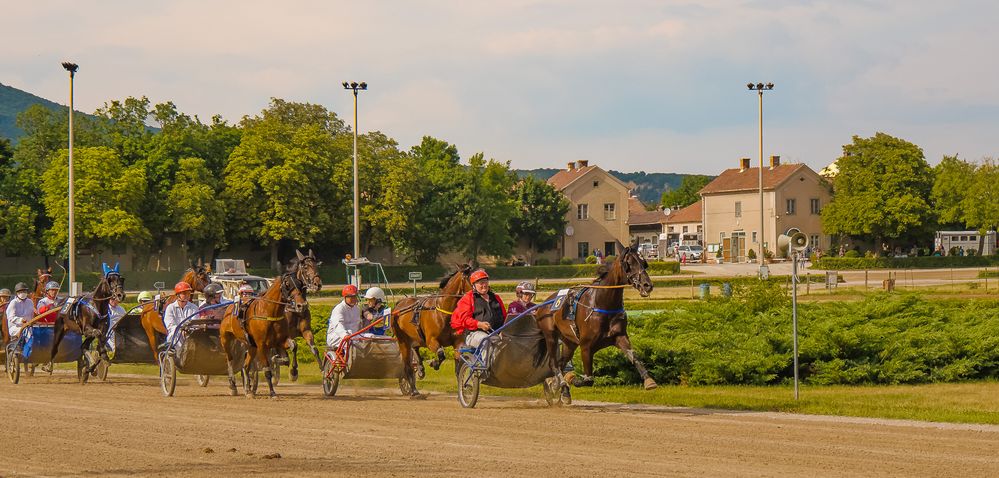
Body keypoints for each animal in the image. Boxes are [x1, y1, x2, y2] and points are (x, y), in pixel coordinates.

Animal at [221, 270, 310, 398]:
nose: (301, 305)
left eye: (300, 283)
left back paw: (248, 390)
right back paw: (233, 385)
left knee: (246, 366)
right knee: (230, 361)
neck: (269, 312)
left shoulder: (279, 340)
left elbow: (293, 347)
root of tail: (229, 308)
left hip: (251, 346)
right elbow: (267, 370)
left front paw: (293, 372)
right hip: (226, 339)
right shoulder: (262, 345)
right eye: (287, 284)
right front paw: (272, 392)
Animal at [390, 266, 472, 396]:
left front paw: (464, 387)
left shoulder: (458, 341)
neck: (443, 311)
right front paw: (434, 363)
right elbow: (441, 354)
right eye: (470, 278)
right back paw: (413, 390)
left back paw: (420, 370)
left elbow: (459, 363)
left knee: (415, 348)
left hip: (415, 336)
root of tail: (398, 304)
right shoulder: (431, 341)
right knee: (407, 364)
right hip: (402, 340)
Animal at [536, 243, 660, 392]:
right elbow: (589, 379)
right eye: (629, 263)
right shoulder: (586, 346)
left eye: (643, 262)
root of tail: (543, 305)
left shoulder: (620, 336)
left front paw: (649, 380)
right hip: (550, 335)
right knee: (554, 364)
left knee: (561, 363)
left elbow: (634, 356)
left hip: (569, 341)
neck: (602, 303)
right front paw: (573, 379)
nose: (647, 285)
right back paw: (561, 383)